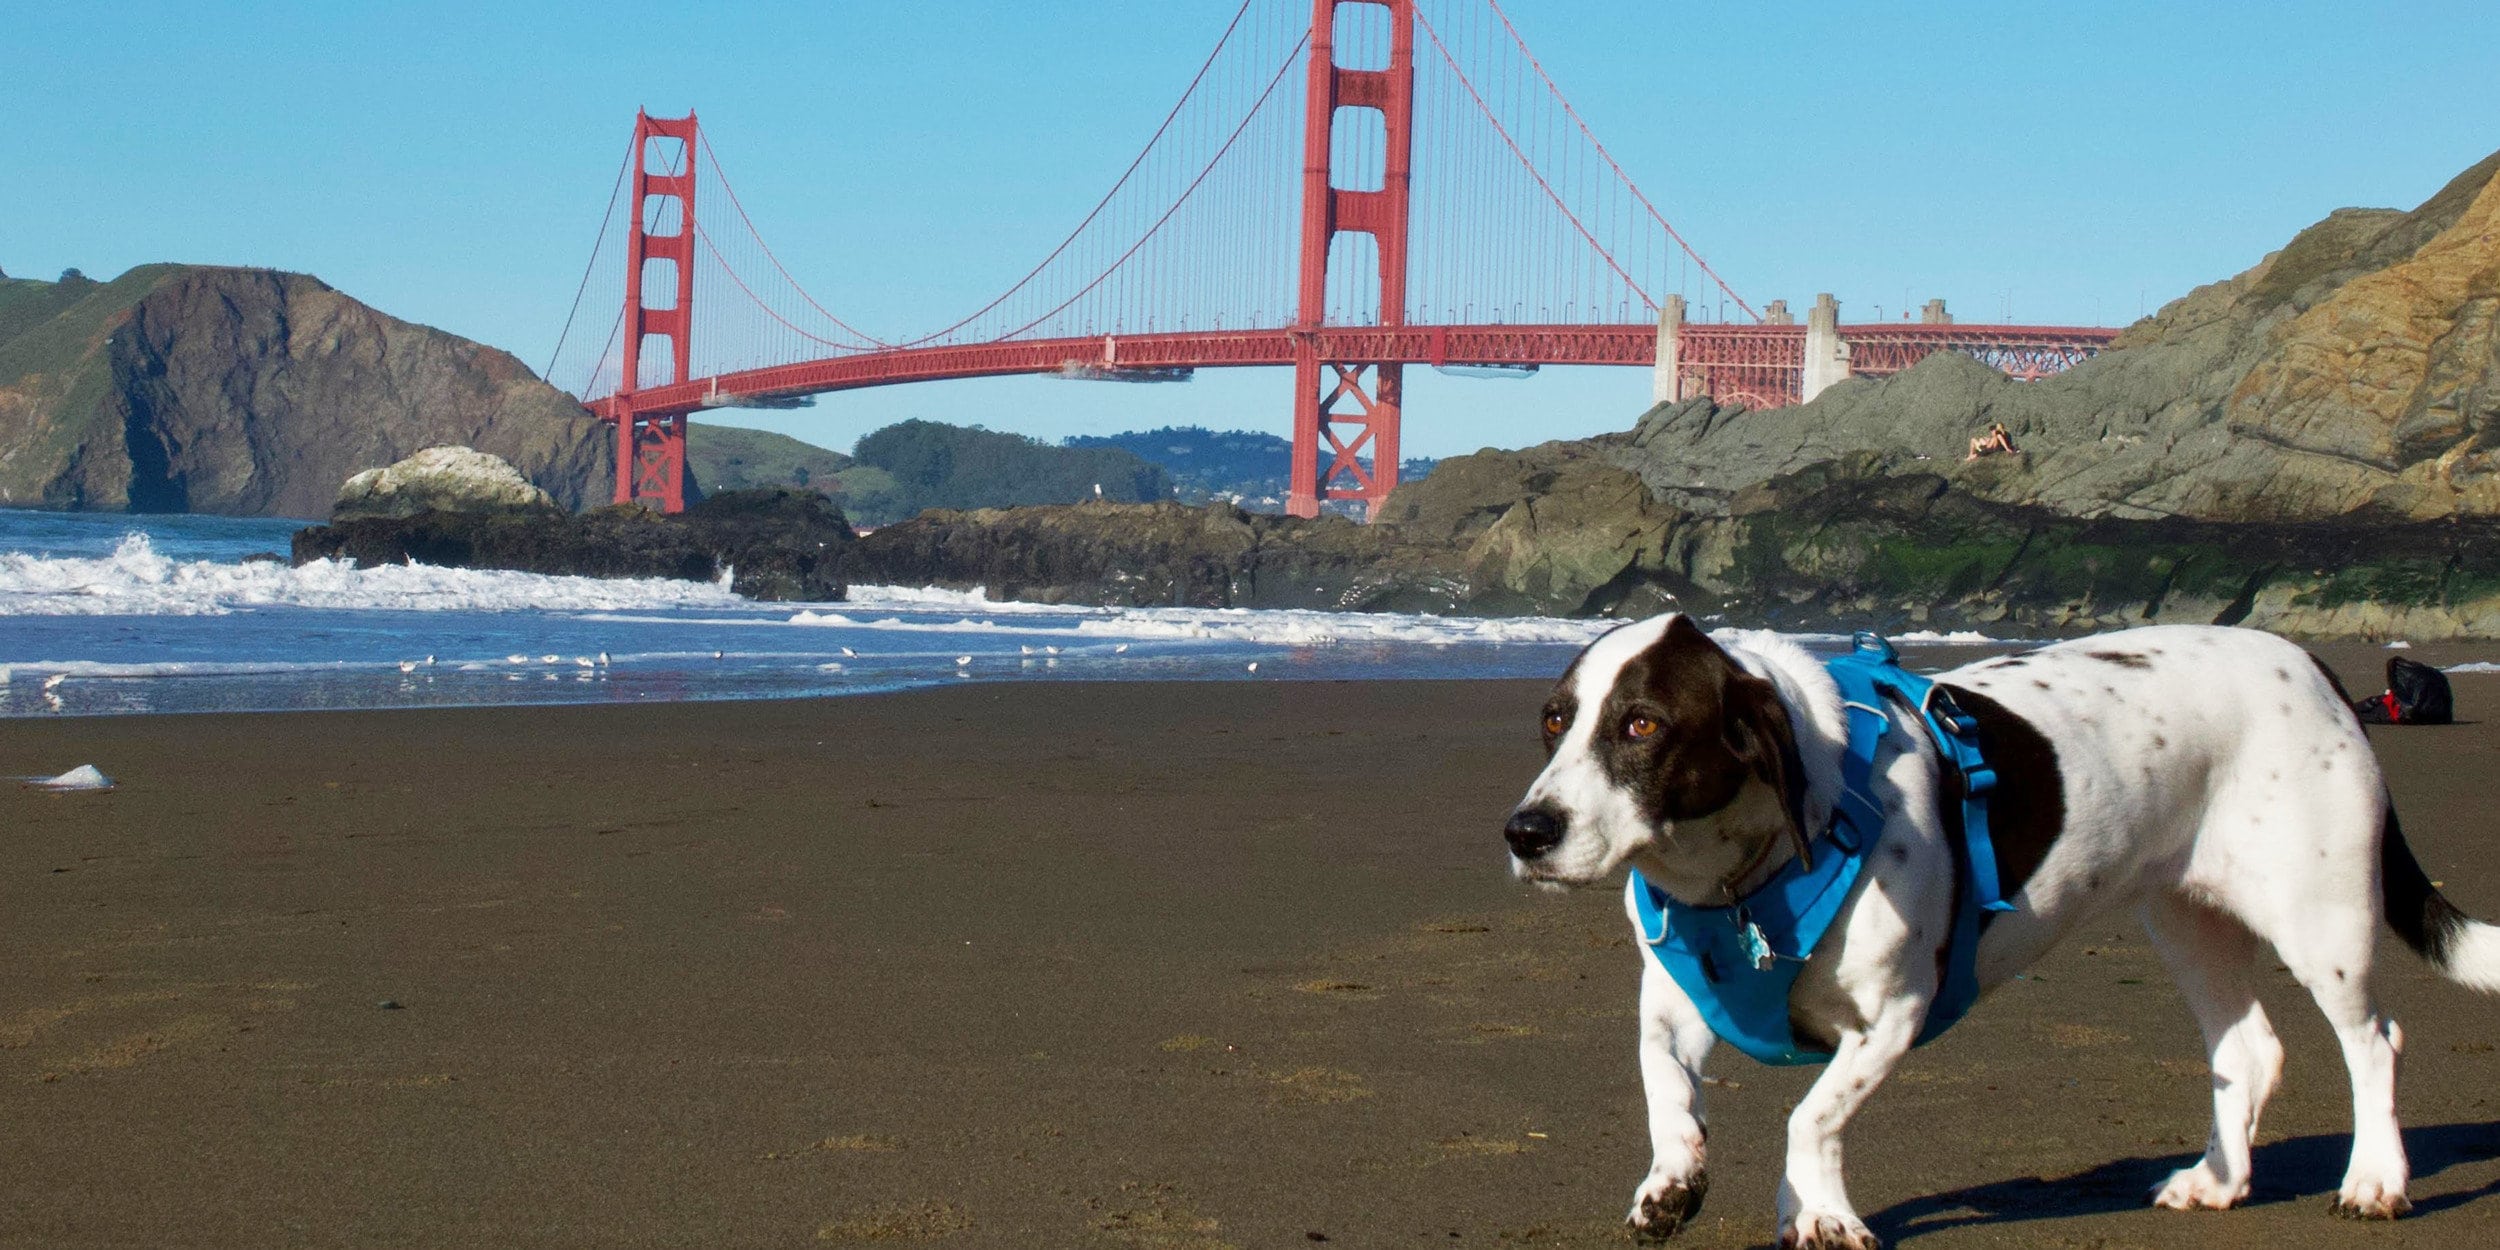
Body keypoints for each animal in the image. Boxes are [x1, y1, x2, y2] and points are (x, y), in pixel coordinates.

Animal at [1500, 617, 2500, 1250]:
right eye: (1554, 720)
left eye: (1643, 724)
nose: (1526, 832)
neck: (1742, 878)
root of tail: (2309, 661)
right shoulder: (1673, 1001)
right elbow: (1667, 1088)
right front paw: (1675, 1182)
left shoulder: (1894, 1013)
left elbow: (1810, 1115)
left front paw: (1820, 1211)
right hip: (2187, 919)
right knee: (2247, 1052)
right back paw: (2216, 1180)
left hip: (2319, 916)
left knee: (2373, 1041)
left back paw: (2375, 1180)